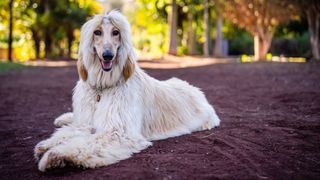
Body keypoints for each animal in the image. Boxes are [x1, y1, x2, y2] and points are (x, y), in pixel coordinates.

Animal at [34, 10, 220, 172]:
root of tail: (197, 91)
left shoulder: (118, 133)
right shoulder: (86, 122)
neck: (102, 88)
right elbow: (71, 131)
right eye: (97, 32)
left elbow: (86, 143)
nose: (108, 55)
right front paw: (47, 145)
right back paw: (63, 119)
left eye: (116, 32)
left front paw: (54, 155)